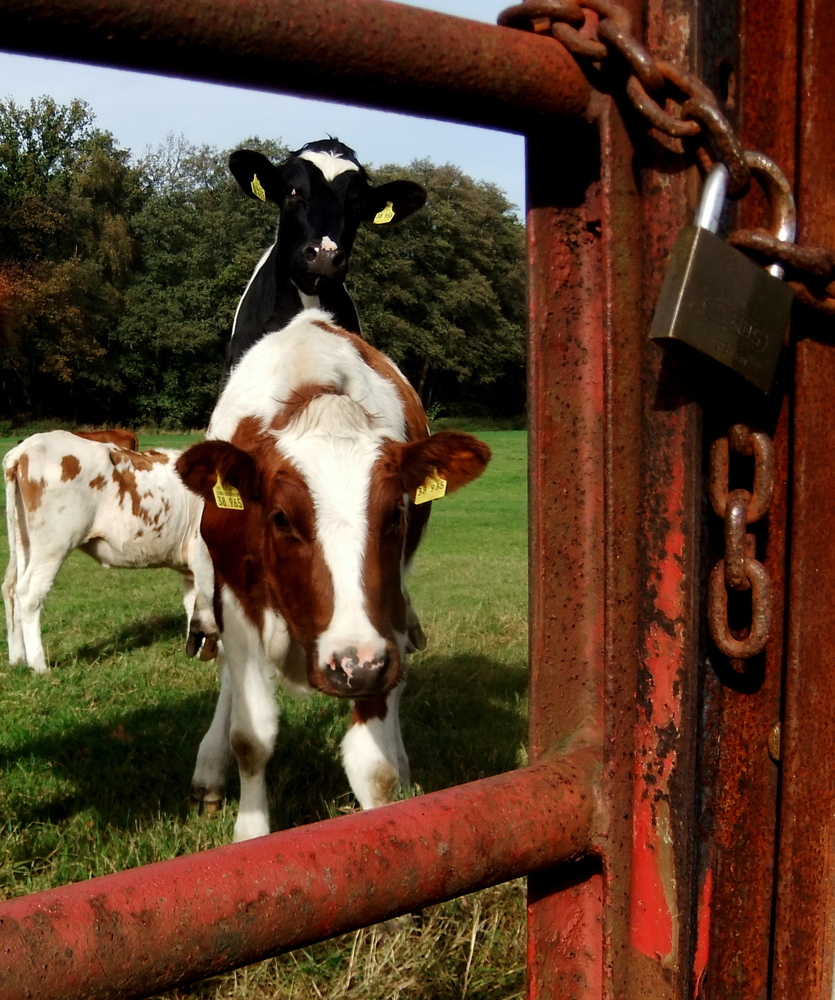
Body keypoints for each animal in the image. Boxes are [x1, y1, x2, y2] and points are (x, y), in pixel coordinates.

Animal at [3, 430, 217, 672]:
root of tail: (24, 449)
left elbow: (192, 604)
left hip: (23, 541)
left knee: (10, 589)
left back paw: (17, 658)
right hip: (53, 545)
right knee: (30, 594)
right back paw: (39, 666)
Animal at [176, 308, 490, 840]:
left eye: (396, 514)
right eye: (281, 518)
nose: (355, 665)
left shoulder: (382, 618)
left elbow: (373, 765)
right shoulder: (236, 596)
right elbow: (251, 736)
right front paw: (250, 834)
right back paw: (207, 772)